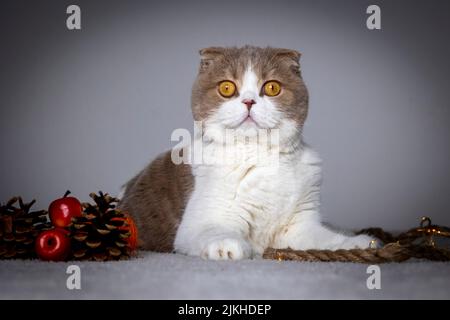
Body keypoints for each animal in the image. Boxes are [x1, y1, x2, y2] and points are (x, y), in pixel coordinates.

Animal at [118, 45, 374, 260]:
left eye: (272, 87)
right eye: (227, 87)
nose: (249, 101)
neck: (261, 157)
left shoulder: (297, 225)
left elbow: (325, 238)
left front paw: (357, 244)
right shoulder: (199, 220)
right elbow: (213, 230)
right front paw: (227, 245)